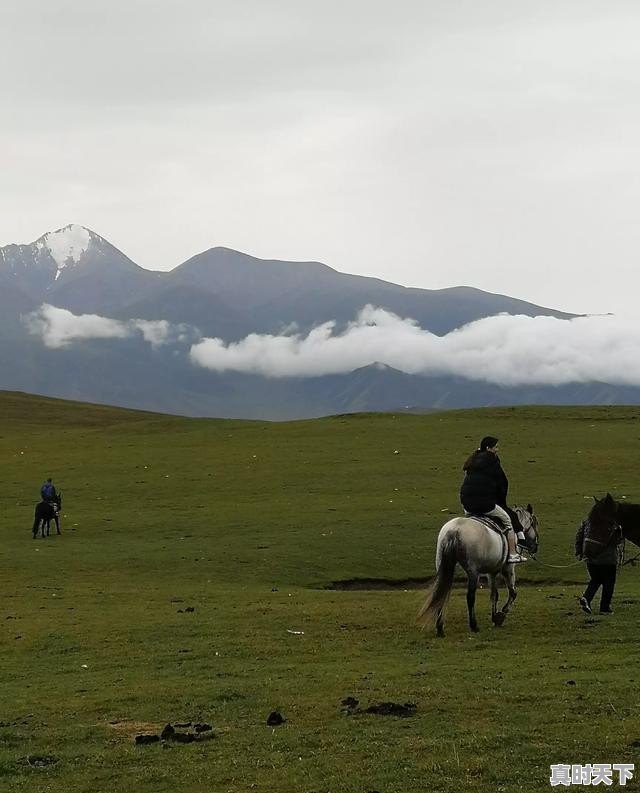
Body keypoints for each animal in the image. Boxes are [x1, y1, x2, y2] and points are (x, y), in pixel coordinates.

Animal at [418, 508, 536, 636]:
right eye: (534, 523)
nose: (535, 547)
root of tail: (455, 530)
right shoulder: (508, 569)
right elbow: (513, 593)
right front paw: (501, 615)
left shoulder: (491, 572)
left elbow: (494, 594)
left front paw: (494, 617)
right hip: (473, 572)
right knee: (470, 596)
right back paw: (473, 625)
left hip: (442, 565)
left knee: (441, 593)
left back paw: (440, 628)